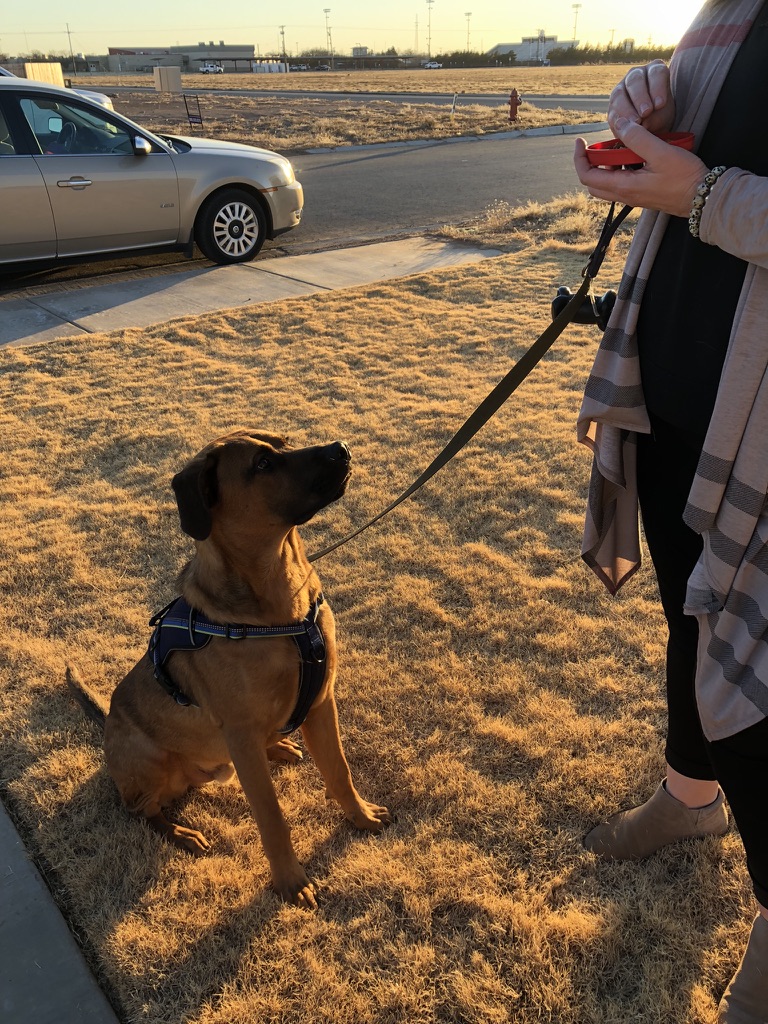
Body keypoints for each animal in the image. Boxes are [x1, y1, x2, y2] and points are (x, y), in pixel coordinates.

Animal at [67, 428, 391, 909]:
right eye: (262, 464)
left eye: (285, 441)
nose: (342, 449)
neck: (279, 604)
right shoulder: (240, 730)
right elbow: (272, 817)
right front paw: (290, 881)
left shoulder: (320, 702)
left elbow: (339, 771)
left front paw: (360, 816)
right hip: (151, 760)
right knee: (139, 810)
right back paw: (182, 832)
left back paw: (279, 747)